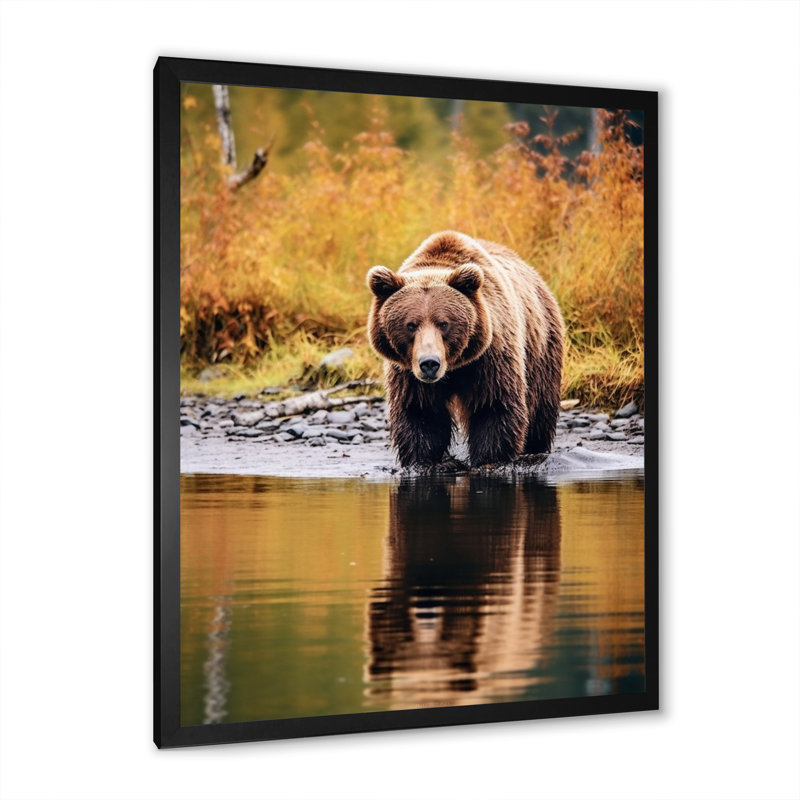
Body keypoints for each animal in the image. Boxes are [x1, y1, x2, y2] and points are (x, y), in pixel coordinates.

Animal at [366, 231, 564, 467]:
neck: (454, 367)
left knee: (540, 404)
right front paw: (426, 461)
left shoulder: (491, 356)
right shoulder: (408, 371)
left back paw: (534, 449)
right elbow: (421, 412)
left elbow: (492, 404)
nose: (430, 363)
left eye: (444, 323)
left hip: (541, 346)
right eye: (411, 325)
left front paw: (489, 459)